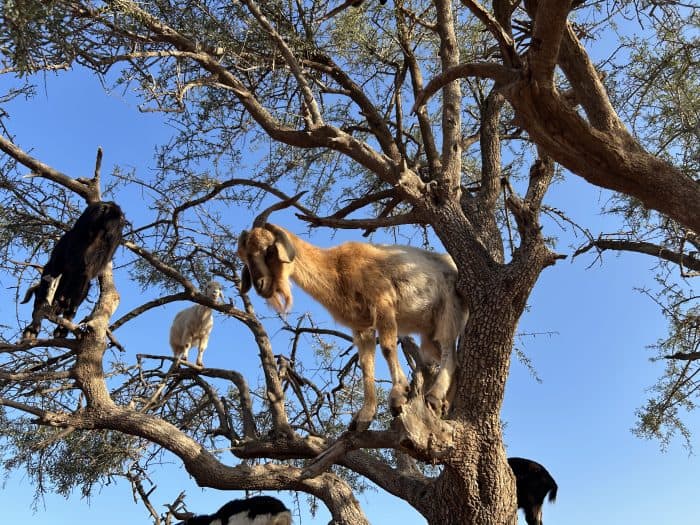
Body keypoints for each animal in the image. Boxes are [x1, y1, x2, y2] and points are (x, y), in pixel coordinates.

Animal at [237, 195, 468, 431]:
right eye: (244, 256)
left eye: (269, 250)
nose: (260, 285)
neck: (336, 268)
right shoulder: (361, 324)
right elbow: (366, 363)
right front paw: (363, 416)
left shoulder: (382, 303)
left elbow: (387, 348)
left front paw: (398, 395)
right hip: (429, 332)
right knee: (454, 360)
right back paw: (443, 404)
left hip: (450, 309)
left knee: (449, 351)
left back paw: (434, 396)